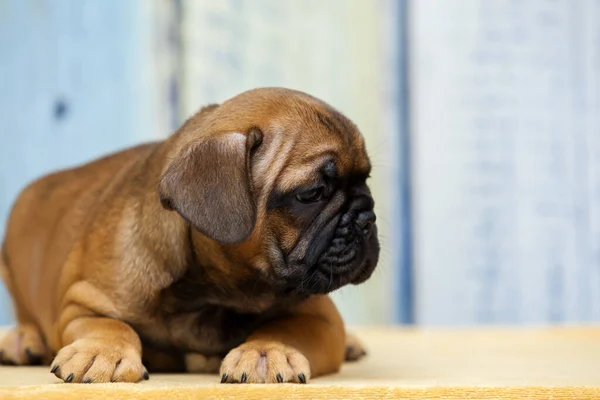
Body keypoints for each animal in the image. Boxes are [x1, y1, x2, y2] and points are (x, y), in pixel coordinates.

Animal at [0, 88, 380, 384]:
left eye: (366, 181)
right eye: (312, 193)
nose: (366, 217)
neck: (215, 293)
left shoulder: (320, 316)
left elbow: (287, 327)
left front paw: (266, 351)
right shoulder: (82, 303)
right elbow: (108, 326)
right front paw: (101, 351)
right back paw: (22, 338)